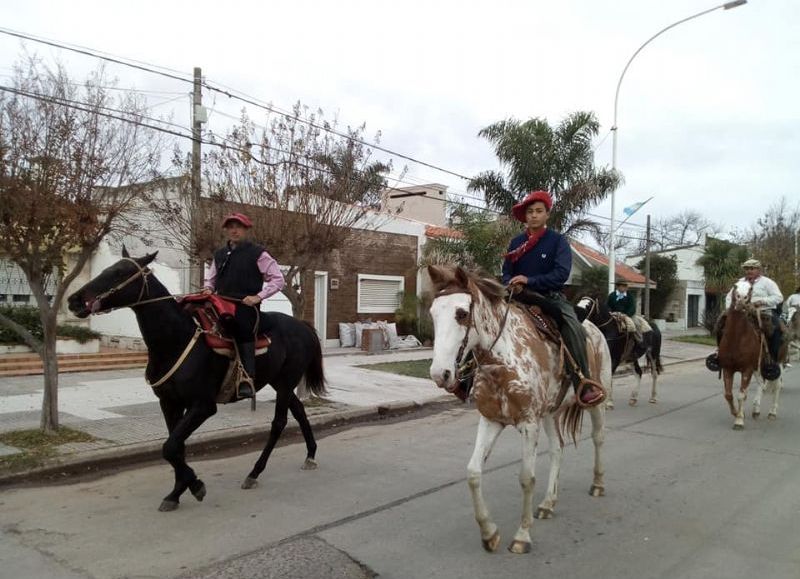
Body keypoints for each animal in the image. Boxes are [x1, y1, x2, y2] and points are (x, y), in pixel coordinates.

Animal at [68, 249, 324, 512]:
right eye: (106, 269)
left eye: (120, 272)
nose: (75, 300)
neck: (177, 339)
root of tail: (302, 326)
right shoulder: (169, 403)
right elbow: (176, 447)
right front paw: (177, 492)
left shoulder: (202, 406)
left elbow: (170, 447)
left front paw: (195, 485)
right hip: (279, 382)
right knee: (299, 410)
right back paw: (310, 454)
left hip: (285, 381)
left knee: (279, 423)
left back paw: (254, 472)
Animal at [428, 266, 608, 556]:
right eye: (433, 313)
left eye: (462, 313)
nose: (439, 374)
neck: (503, 361)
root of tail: (593, 327)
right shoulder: (490, 420)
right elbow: (473, 473)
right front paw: (489, 533)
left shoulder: (529, 423)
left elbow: (526, 478)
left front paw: (522, 536)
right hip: (551, 412)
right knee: (557, 449)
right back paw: (548, 503)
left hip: (597, 400)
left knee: (599, 437)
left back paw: (598, 484)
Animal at [720, 280, 780, 430]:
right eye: (735, 286)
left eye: (751, 288)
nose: (741, 299)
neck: (736, 339)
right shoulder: (727, 368)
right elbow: (728, 395)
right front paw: (736, 413)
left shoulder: (746, 369)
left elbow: (742, 395)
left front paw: (739, 421)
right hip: (758, 368)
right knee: (761, 384)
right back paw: (756, 410)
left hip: (775, 366)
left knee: (777, 385)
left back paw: (772, 412)